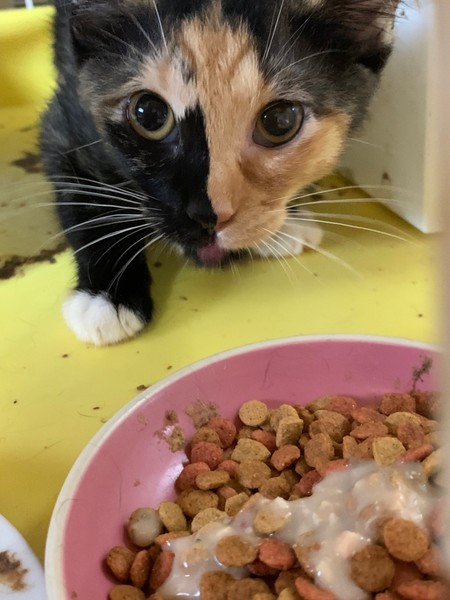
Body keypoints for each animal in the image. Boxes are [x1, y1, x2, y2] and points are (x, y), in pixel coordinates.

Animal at [41, 0, 399, 346]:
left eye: (280, 120)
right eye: (148, 114)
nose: (208, 214)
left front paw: (284, 223)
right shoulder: (65, 122)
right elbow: (87, 198)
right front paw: (107, 296)